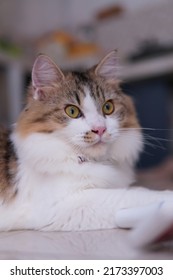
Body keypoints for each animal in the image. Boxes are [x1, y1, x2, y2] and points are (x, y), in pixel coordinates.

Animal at [0, 49, 173, 245]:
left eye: (108, 107)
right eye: (72, 111)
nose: (100, 129)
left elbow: (138, 189)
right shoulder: (64, 206)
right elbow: (132, 196)